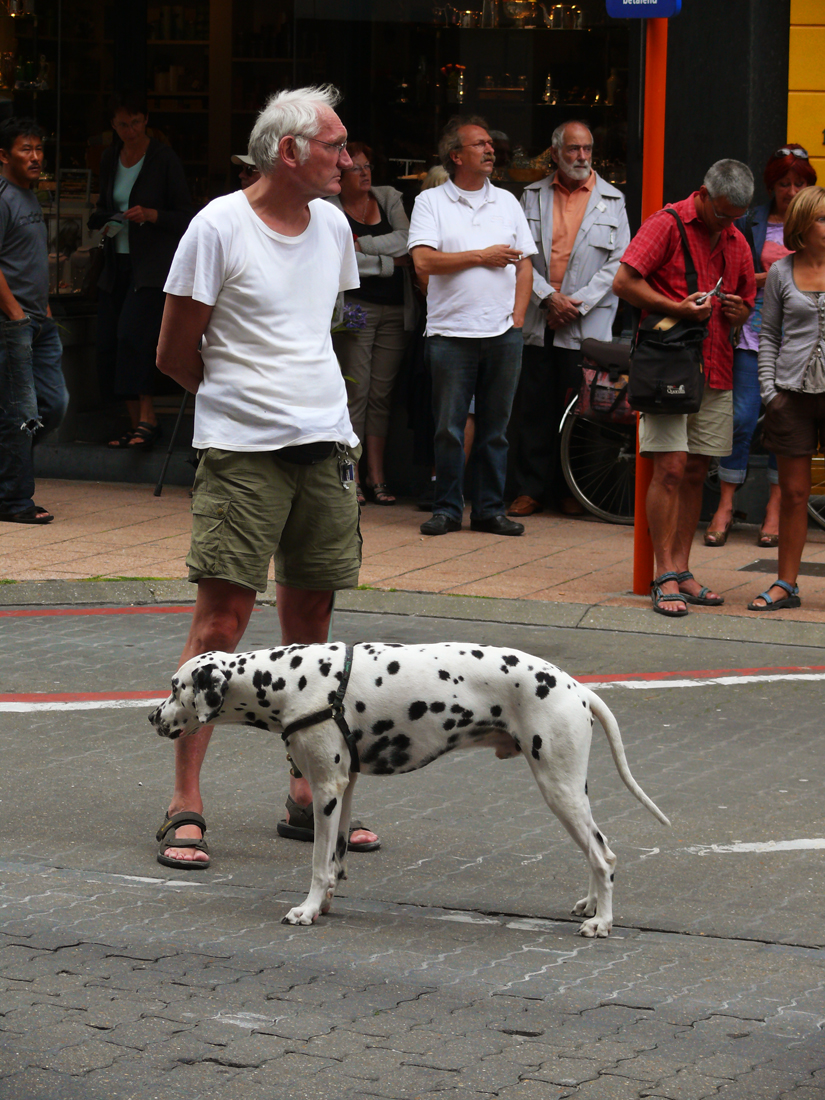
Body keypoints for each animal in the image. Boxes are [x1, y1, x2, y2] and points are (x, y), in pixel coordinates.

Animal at [151, 638, 673, 937]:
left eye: (176, 687)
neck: (288, 677)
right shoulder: (345, 787)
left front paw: (307, 909)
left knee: (603, 856)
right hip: (570, 791)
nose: (152, 716)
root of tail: (577, 688)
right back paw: (592, 903)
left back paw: (602, 921)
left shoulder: (326, 789)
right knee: (599, 851)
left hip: (558, 788)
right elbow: (335, 860)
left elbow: (318, 864)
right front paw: (327, 905)